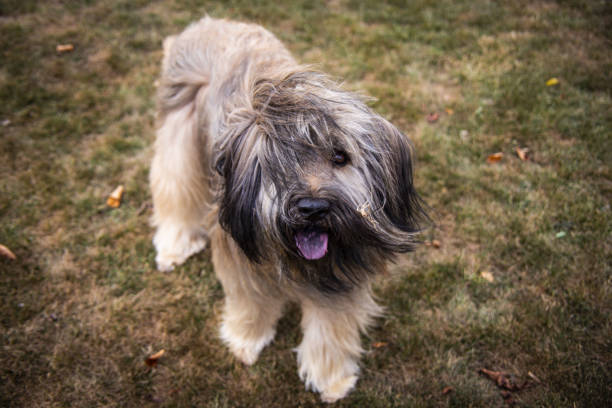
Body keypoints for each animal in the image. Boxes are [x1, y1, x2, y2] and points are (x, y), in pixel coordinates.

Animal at [149, 17, 426, 404]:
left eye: (339, 156)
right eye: (281, 161)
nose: (312, 209)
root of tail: (210, 22)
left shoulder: (340, 272)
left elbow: (331, 326)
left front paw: (330, 378)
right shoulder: (239, 251)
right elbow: (250, 300)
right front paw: (246, 339)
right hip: (180, 127)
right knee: (174, 186)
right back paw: (174, 244)